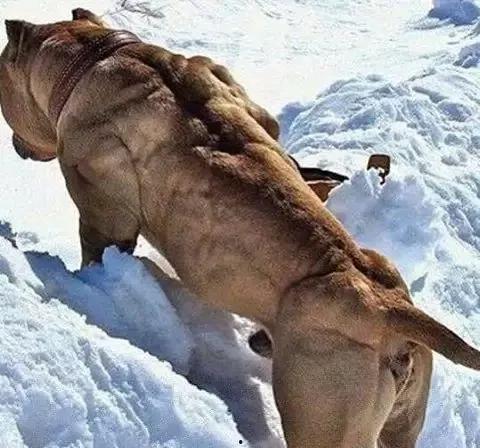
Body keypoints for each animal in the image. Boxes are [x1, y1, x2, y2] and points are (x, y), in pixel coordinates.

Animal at [2, 9, 480, 447]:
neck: (97, 54)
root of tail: (386, 309)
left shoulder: (101, 205)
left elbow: (98, 248)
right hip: (402, 418)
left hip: (322, 411)